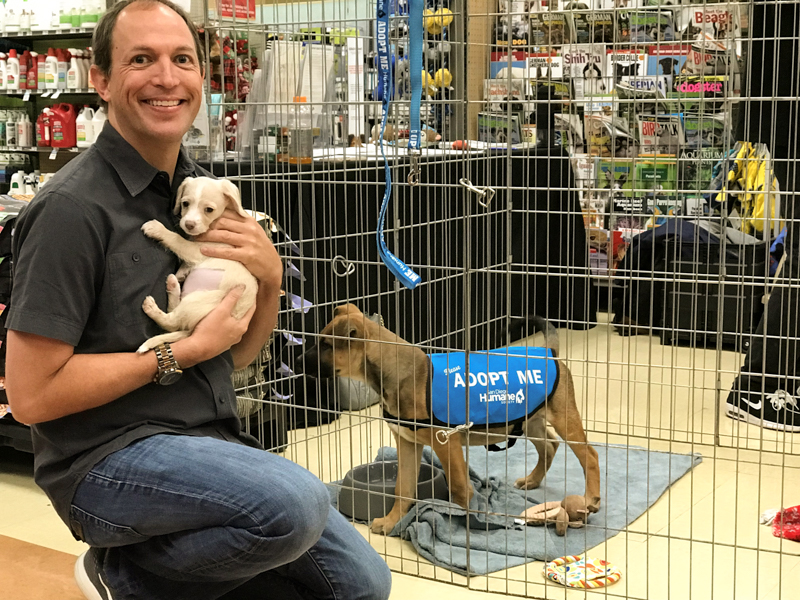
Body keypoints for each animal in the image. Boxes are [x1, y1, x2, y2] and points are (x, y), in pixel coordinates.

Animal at [136, 176, 258, 354]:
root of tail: (191, 330)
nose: (189, 224)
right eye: (185, 203)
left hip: (198, 300)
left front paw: (158, 229)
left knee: (171, 322)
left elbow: (177, 240)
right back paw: (173, 284)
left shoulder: (199, 251)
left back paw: (153, 307)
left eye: (209, 209)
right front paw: (182, 272)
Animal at [304, 304, 600, 536]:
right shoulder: (407, 444)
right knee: (549, 445)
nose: (297, 360)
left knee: (589, 455)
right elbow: (403, 488)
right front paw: (391, 522)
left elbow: (458, 487)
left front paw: (467, 522)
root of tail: (549, 352)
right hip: (530, 419)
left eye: (326, 345)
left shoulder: (446, 443)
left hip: (563, 418)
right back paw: (532, 480)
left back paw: (591, 498)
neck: (402, 373)